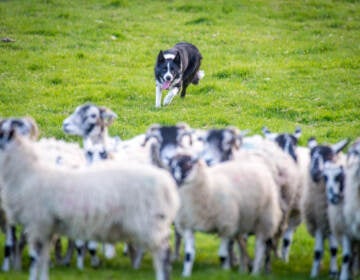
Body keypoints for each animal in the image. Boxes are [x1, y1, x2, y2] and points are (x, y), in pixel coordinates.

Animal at [300, 136, 348, 278]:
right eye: (311, 155)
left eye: (329, 156)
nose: (315, 172)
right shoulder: (319, 221)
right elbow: (318, 250)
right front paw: (314, 273)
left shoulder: (332, 222)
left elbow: (333, 249)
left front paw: (334, 272)